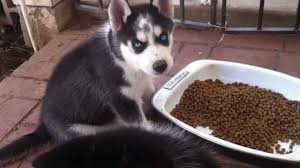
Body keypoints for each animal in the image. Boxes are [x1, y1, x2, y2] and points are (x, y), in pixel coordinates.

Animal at [0, 0, 173, 165]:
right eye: (137, 44)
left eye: (164, 37)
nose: (160, 66)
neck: (121, 57)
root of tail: (43, 125)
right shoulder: (122, 100)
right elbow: (142, 125)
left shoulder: (142, 86)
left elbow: (149, 93)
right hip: (82, 130)